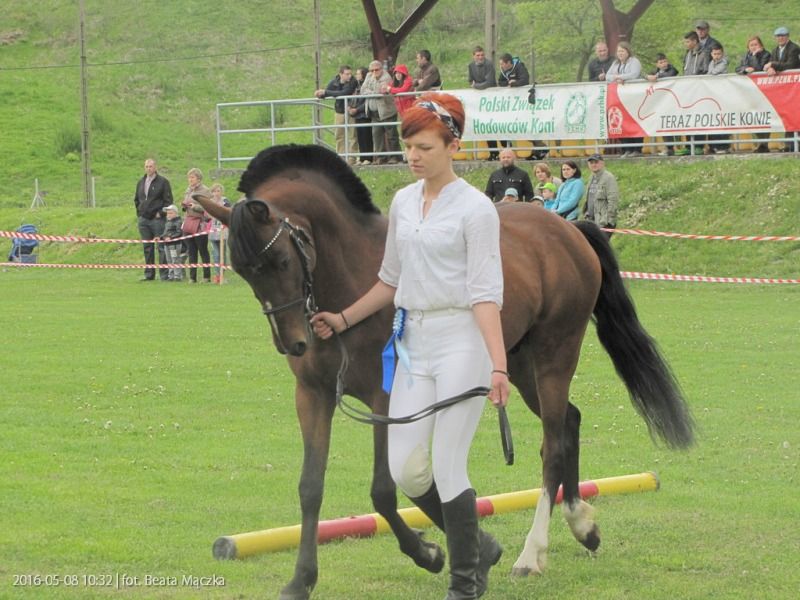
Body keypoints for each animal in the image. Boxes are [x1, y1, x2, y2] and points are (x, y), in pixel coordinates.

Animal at [195, 145, 692, 600]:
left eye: (280, 261)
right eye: (244, 271)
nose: (294, 343)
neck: (354, 278)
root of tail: (568, 229)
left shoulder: (386, 398)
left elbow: (385, 489)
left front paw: (440, 553)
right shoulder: (313, 395)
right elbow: (311, 487)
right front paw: (301, 580)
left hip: (555, 355)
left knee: (552, 444)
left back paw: (531, 554)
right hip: (517, 364)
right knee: (569, 421)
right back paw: (581, 523)